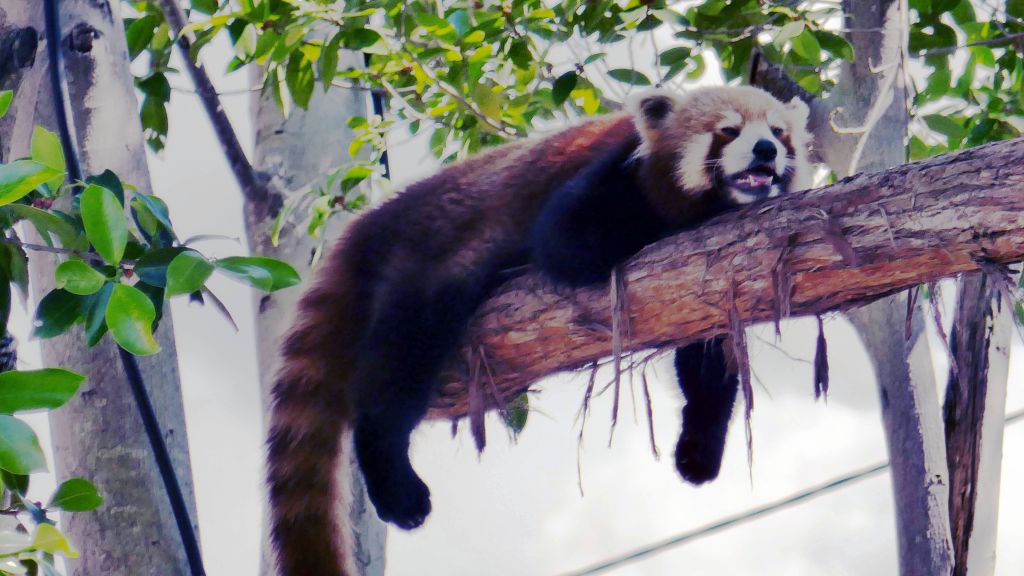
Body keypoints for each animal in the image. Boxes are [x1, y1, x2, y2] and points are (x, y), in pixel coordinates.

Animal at [268, 85, 811, 573]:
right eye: (729, 131)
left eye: (779, 133)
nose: (766, 149)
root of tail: (372, 225)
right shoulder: (609, 178)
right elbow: (566, 242)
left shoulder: (703, 284)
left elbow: (707, 361)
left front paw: (699, 449)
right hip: (426, 264)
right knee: (398, 366)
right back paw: (396, 483)